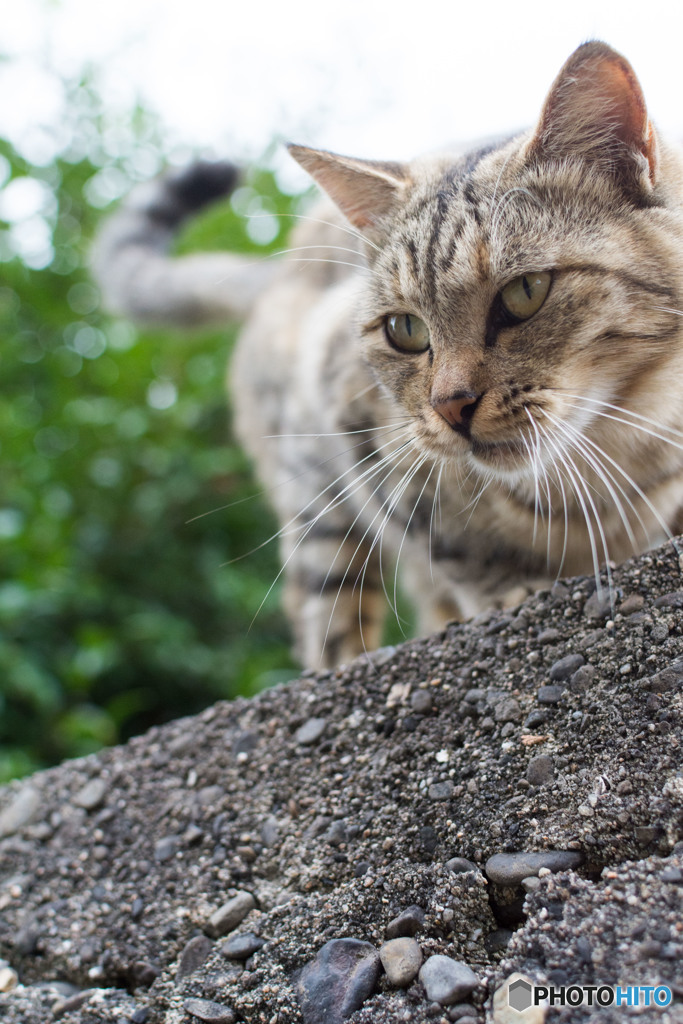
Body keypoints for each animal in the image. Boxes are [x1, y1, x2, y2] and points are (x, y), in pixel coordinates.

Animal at [93, 44, 683, 671]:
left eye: (526, 292)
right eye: (405, 329)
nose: (451, 406)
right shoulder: (365, 440)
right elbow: (453, 549)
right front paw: (511, 590)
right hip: (316, 503)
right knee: (329, 615)